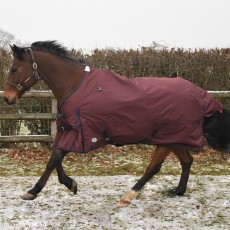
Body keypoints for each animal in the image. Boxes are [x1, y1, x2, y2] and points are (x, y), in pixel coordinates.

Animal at [3, 41, 230, 208]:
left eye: (13, 69)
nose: (7, 98)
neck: (75, 85)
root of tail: (202, 96)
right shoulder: (68, 130)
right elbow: (54, 158)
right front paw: (67, 185)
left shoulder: (78, 132)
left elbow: (54, 159)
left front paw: (35, 191)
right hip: (173, 138)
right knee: (187, 160)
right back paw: (178, 191)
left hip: (168, 137)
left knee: (154, 167)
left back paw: (128, 196)